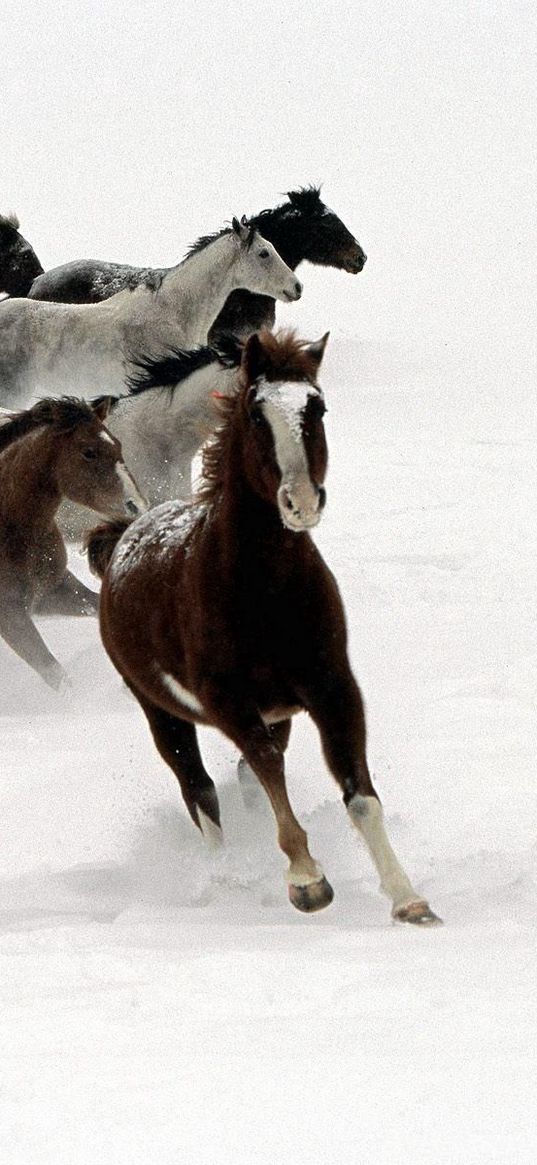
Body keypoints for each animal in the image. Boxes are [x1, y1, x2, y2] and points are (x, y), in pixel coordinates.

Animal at [0, 400, 145, 689]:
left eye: (118, 445)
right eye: (89, 452)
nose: (136, 506)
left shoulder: (53, 592)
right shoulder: (10, 614)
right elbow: (54, 673)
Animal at [87, 330, 440, 927]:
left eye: (317, 407)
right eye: (255, 413)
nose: (301, 502)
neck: (264, 592)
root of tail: (121, 536)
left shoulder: (332, 688)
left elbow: (358, 791)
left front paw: (408, 899)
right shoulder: (228, 701)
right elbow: (267, 769)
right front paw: (307, 881)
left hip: (278, 712)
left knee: (242, 782)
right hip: (160, 711)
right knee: (200, 790)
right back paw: (227, 876)